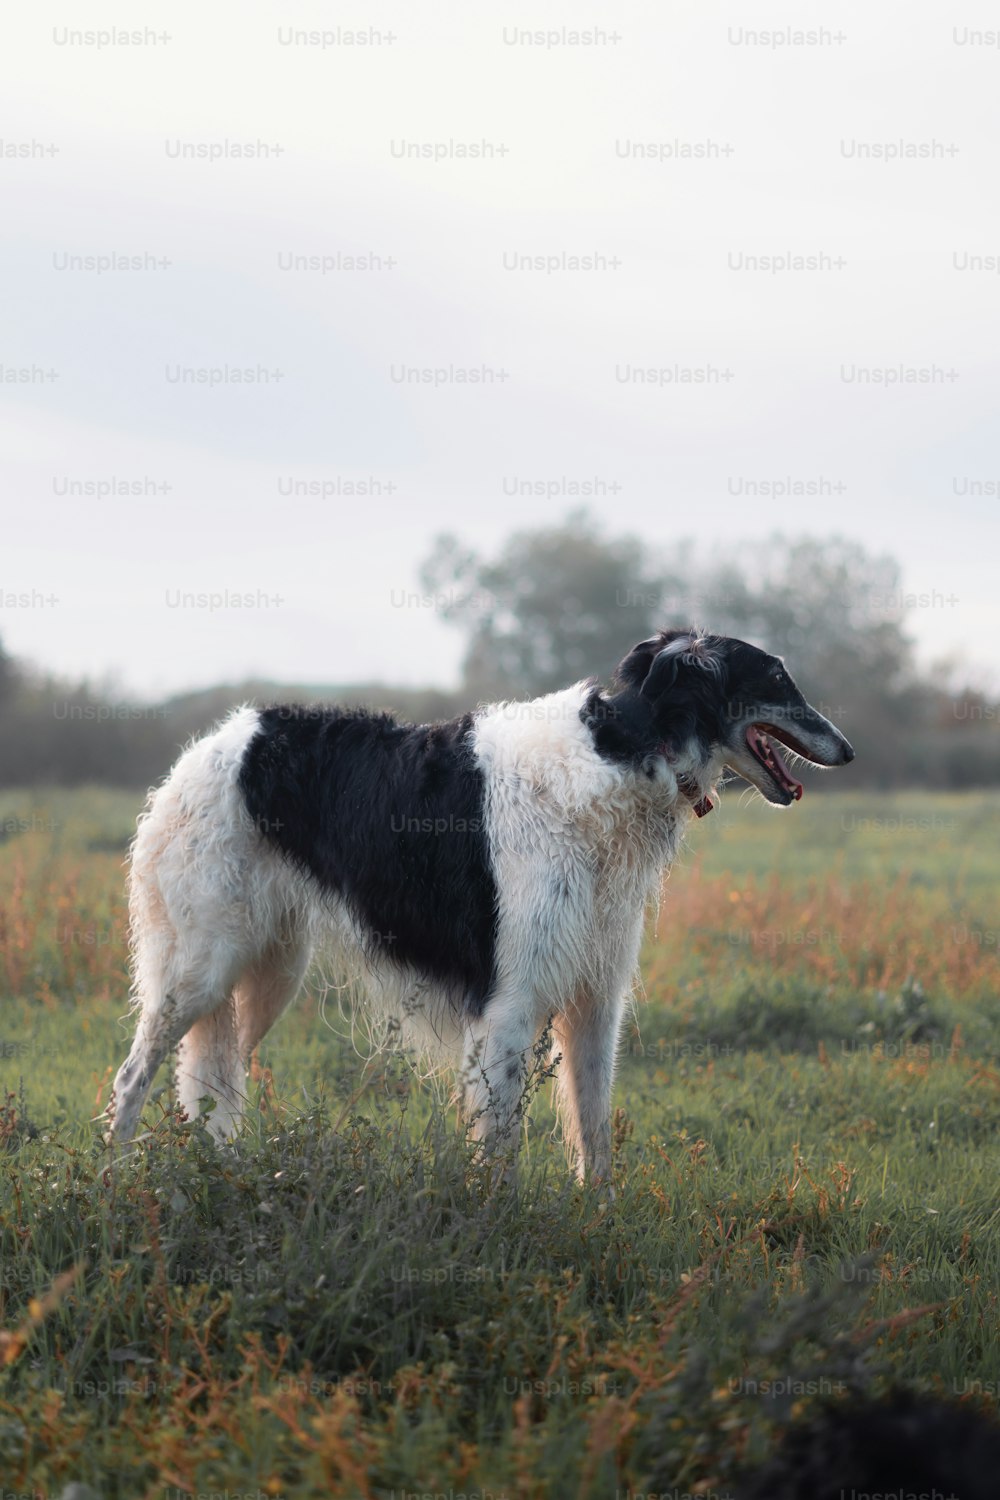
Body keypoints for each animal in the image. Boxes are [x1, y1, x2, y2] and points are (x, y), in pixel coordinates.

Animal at [113, 627, 857, 1176]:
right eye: (776, 679)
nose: (848, 750)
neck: (621, 755)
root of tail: (210, 747)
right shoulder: (509, 1006)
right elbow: (500, 1157)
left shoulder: (596, 999)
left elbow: (595, 1141)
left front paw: (603, 1229)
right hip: (199, 970)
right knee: (132, 1077)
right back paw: (114, 1182)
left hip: (267, 973)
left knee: (214, 1084)